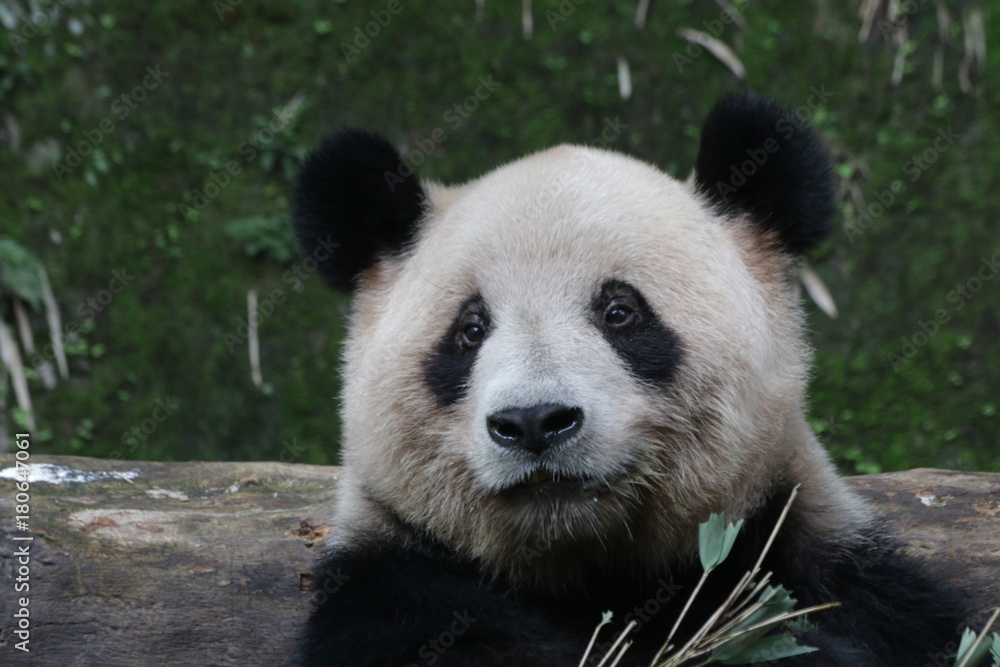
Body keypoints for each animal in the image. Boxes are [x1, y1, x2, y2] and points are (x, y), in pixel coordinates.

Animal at [291, 93, 965, 666]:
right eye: (470, 329)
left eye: (620, 312)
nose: (534, 422)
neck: (589, 567)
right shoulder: (391, 590)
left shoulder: (817, 551)